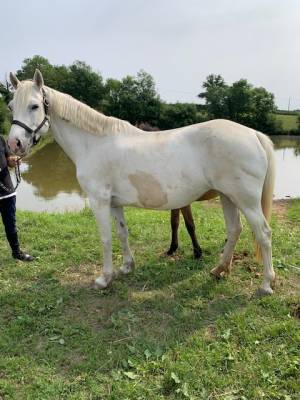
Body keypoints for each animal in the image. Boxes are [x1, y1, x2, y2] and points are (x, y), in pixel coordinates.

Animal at [7, 70, 276, 296]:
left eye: (34, 105)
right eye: (10, 106)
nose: (14, 144)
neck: (94, 143)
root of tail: (253, 133)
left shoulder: (99, 201)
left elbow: (105, 239)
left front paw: (104, 279)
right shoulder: (114, 203)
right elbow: (122, 233)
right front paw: (126, 267)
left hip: (245, 200)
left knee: (263, 234)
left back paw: (265, 285)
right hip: (227, 196)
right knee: (234, 230)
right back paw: (220, 270)